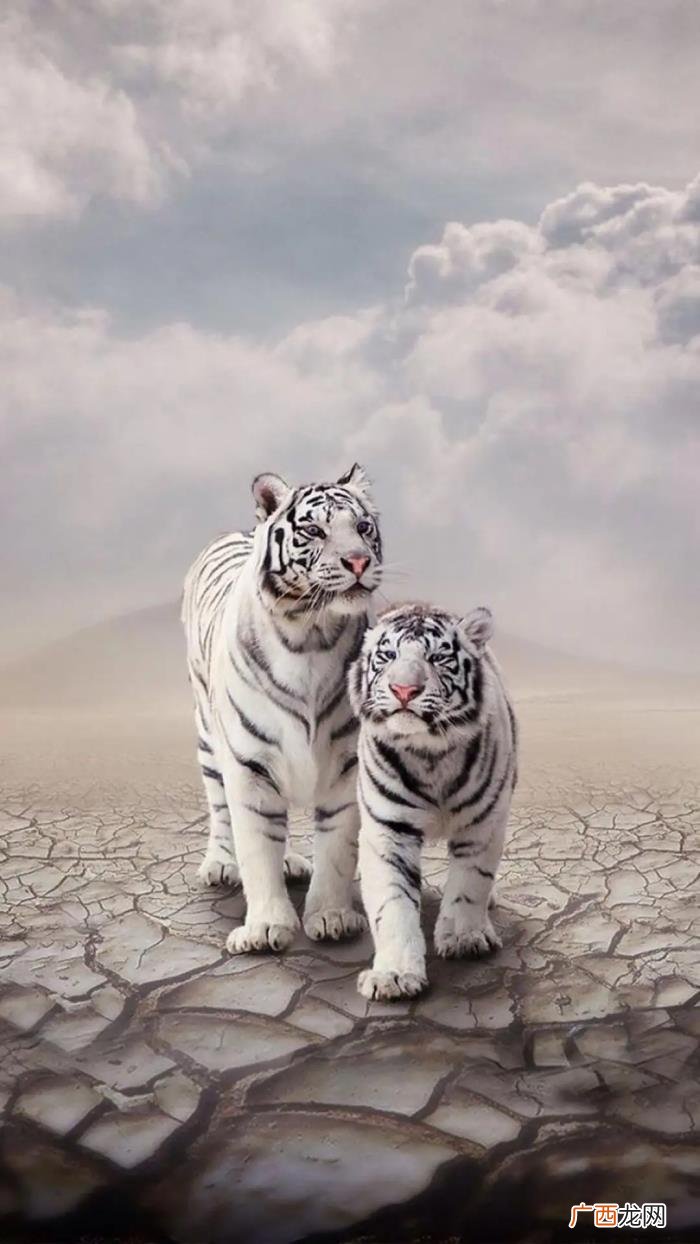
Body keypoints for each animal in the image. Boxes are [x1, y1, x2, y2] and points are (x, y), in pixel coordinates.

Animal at [181, 464, 383, 954]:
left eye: (363, 528)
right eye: (314, 530)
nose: (358, 562)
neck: (311, 633)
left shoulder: (346, 765)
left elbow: (336, 848)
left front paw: (331, 917)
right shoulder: (249, 766)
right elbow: (256, 847)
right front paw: (265, 927)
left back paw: (291, 861)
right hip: (208, 736)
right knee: (219, 806)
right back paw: (220, 864)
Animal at [348, 601, 517, 999]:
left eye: (438, 657)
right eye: (388, 655)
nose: (403, 690)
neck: (429, 754)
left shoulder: (482, 824)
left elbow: (471, 882)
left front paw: (465, 938)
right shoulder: (388, 831)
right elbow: (392, 903)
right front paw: (393, 976)